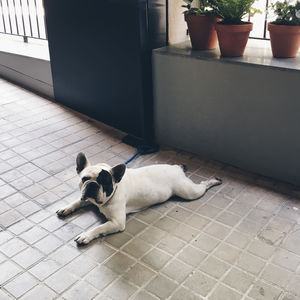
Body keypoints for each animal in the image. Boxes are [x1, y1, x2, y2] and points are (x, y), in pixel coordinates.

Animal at [56, 151, 221, 245]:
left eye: (105, 183)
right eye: (84, 179)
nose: (92, 185)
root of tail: (176, 169)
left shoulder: (116, 222)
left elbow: (99, 227)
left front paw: (86, 235)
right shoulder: (87, 198)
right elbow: (77, 201)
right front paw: (66, 208)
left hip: (189, 192)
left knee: (202, 186)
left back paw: (213, 181)